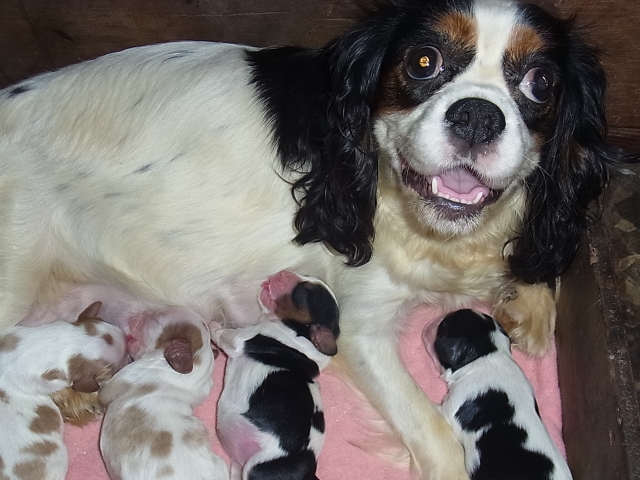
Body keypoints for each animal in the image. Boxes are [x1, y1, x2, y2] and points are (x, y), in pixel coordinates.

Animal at [213, 271, 339, 480]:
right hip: (240, 466)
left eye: (303, 293)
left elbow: (222, 333)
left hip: (257, 466)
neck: (300, 336)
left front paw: (213, 324)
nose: (283, 272)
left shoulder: (240, 339)